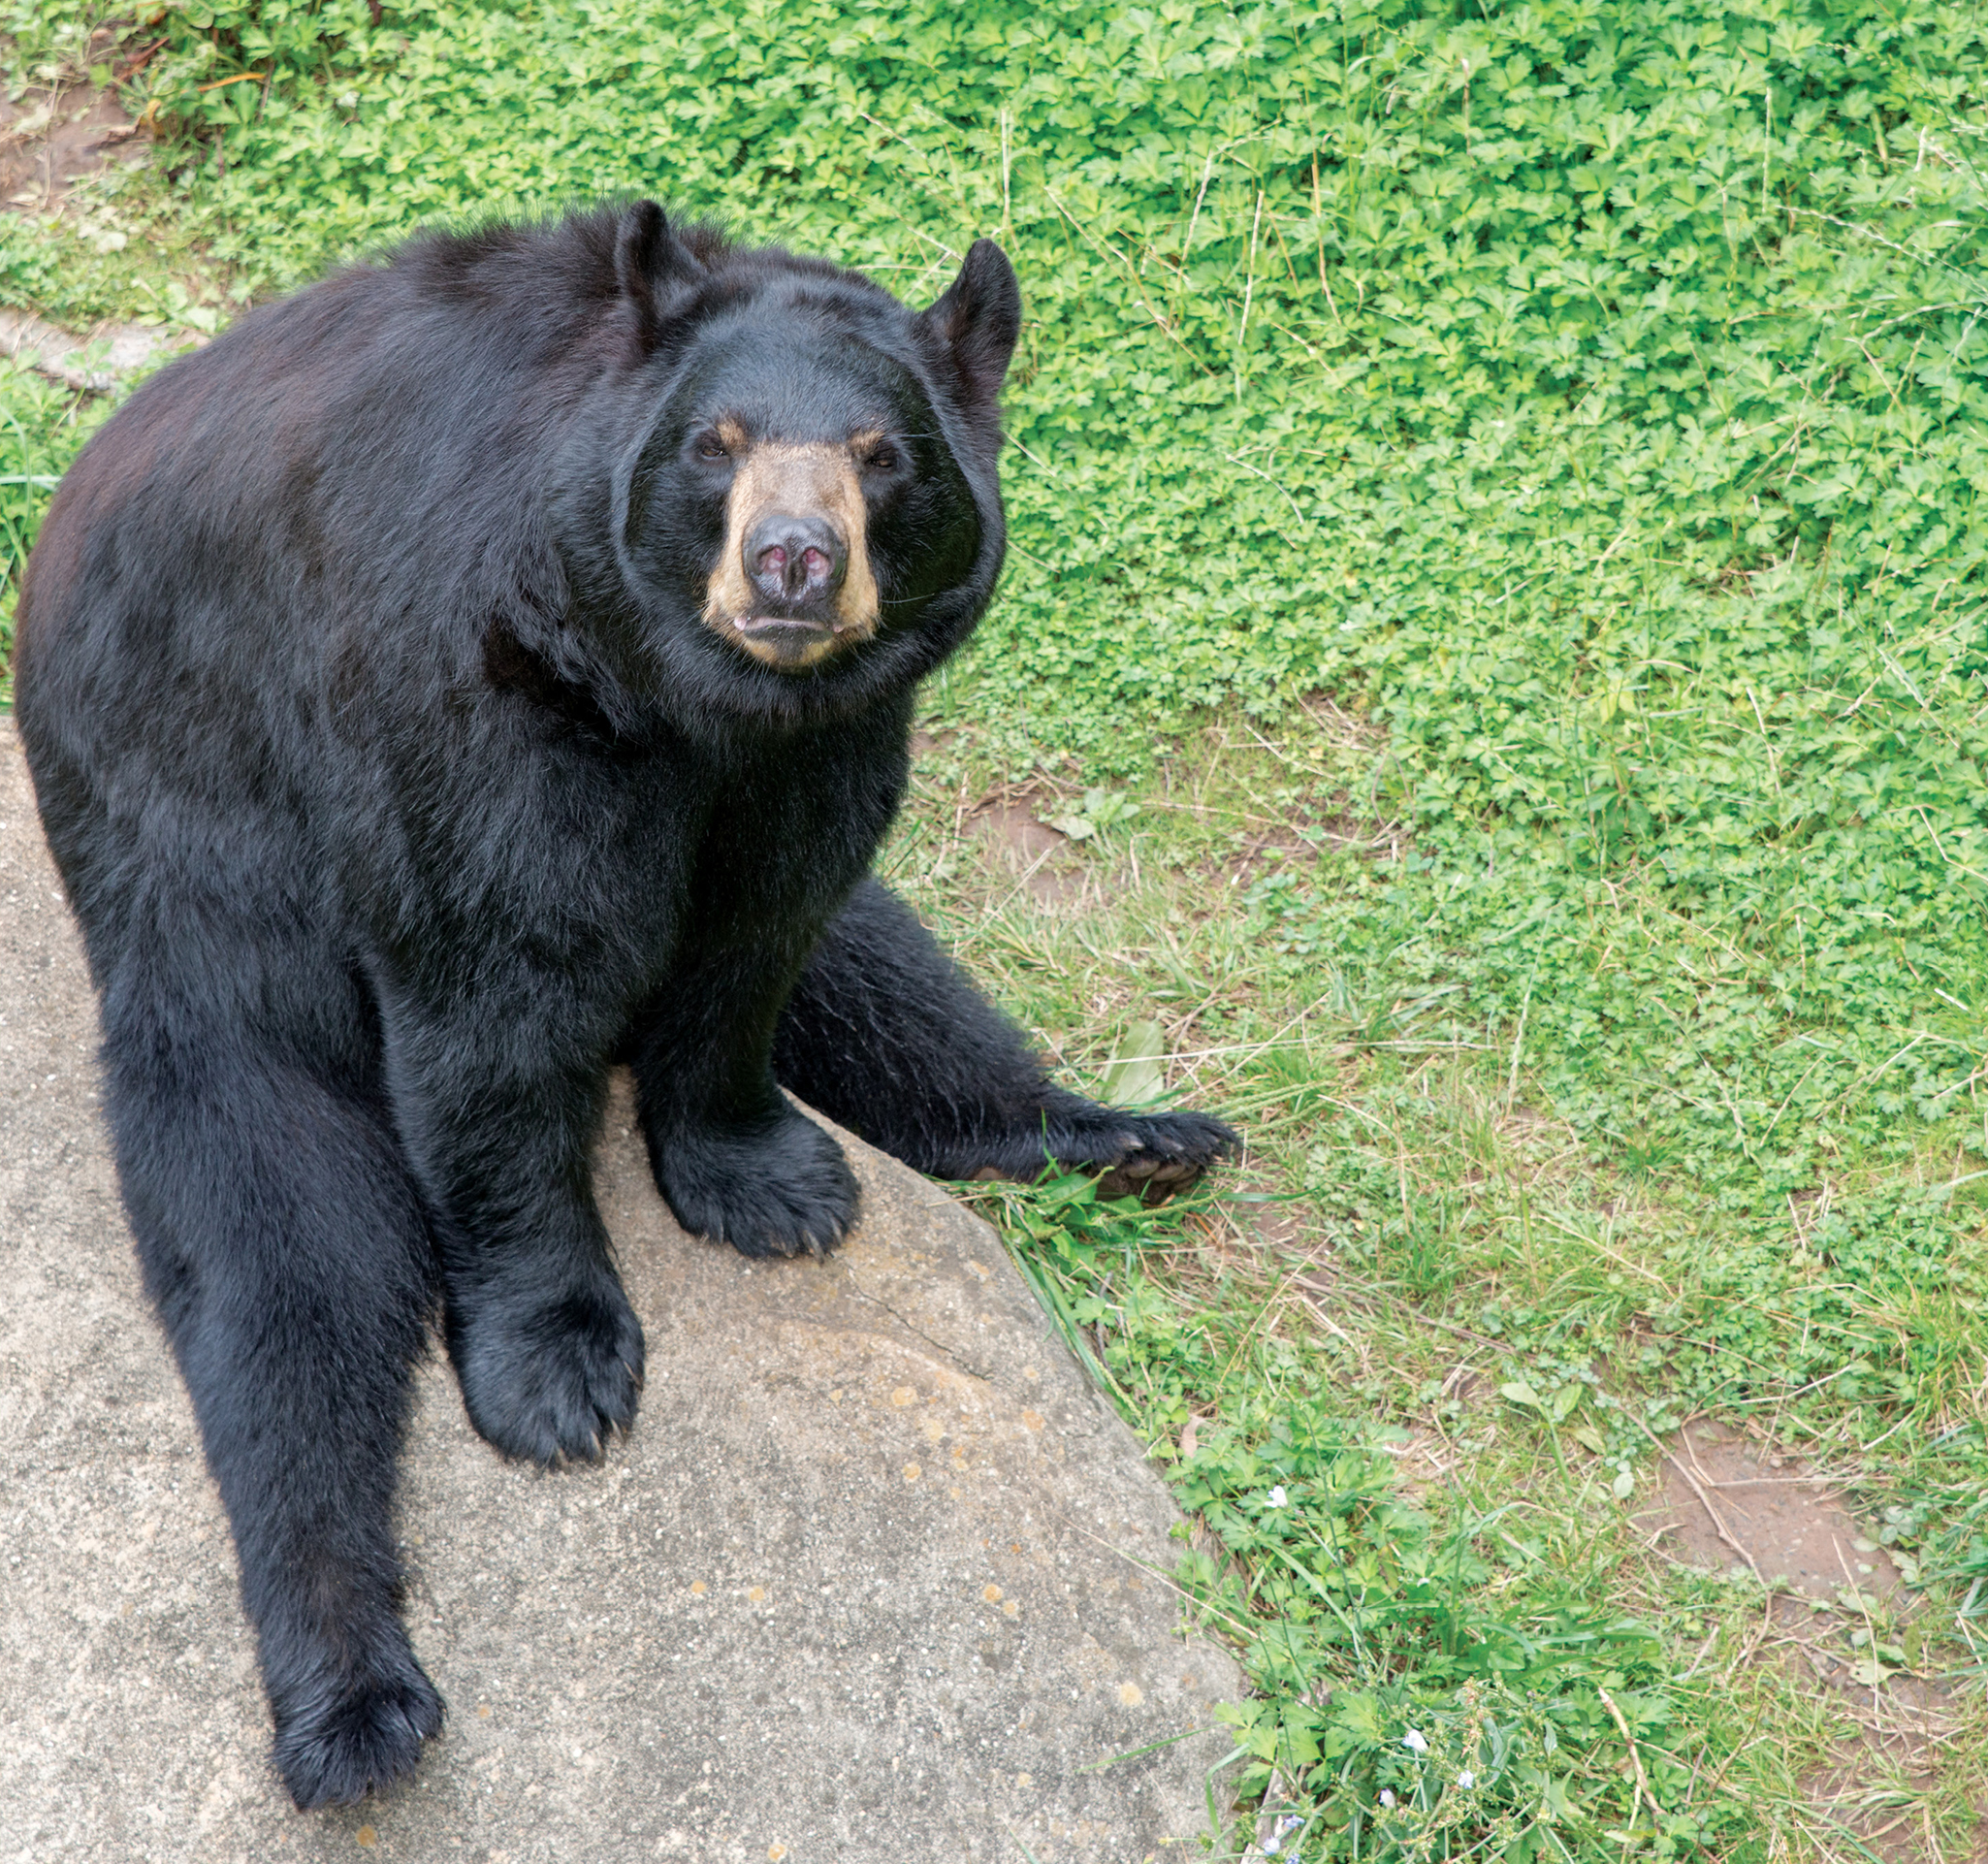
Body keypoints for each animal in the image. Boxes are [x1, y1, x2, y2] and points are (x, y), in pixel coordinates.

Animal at [8, 199, 1233, 1804]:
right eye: (717, 441)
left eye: (879, 453)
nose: (790, 563)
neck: (672, 701)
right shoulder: (466, 699)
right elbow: (491, 1008)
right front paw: (558, 1367)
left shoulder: (819, 754)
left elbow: (768, 942)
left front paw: (766, 1182)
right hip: (189, 835)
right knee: (272, 1229)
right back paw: (352, 1688)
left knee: (892, 977)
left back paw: (1129, 1137)